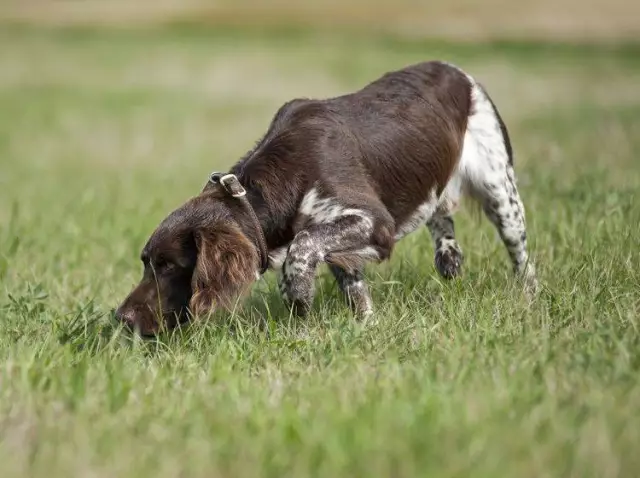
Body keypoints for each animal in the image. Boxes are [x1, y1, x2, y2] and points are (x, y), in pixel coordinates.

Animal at [114, 60, 536, 336]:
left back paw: (529, 298)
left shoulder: (374, 222)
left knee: (523, 258)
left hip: (501, 191)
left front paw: (297, 296)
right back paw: (448, 255)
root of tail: (458, 72)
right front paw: (365, 327)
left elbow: (302, 247)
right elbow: (352, 286)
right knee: (440, 215)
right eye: (146, 262)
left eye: (169, 266)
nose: (122, 319)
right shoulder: (340, 246)